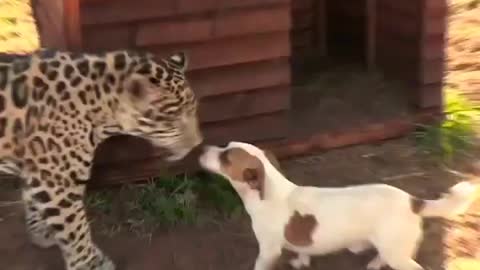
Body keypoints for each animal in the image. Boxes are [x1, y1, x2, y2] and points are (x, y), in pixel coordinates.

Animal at [198, 141, 476, 270]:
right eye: (225, 147)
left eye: (225, 158)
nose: (201, 149)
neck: (269, 193)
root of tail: (413, 202)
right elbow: (303, 252)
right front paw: (301, 261)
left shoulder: (268, 250)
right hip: (390, 248)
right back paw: (374, 264)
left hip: (397, 254)